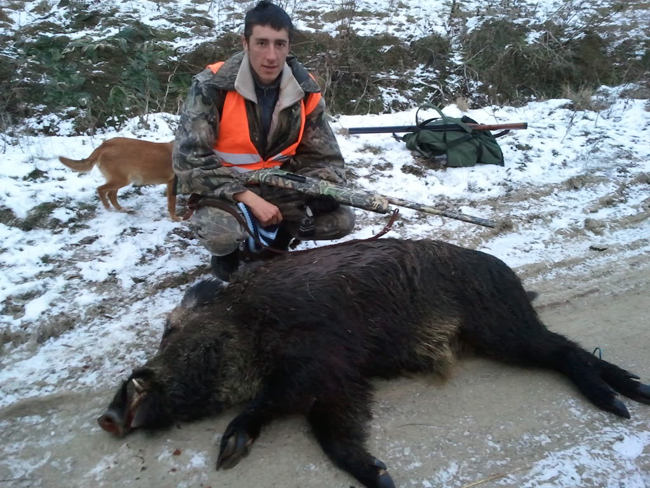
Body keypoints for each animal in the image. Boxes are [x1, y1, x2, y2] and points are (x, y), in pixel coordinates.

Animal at [98, 238, 650, 488]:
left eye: (171, 331)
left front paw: (227, 452)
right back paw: (637, 394)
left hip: (502, 327)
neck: (248, 320)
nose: (108, 415)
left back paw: (620, 407)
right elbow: (332, 433)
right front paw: (383, 476)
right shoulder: (342, 380)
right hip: (501, 332)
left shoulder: (317, 357)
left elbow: (277, 403)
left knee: (565, 351)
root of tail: (510, 274)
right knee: (570, 349)